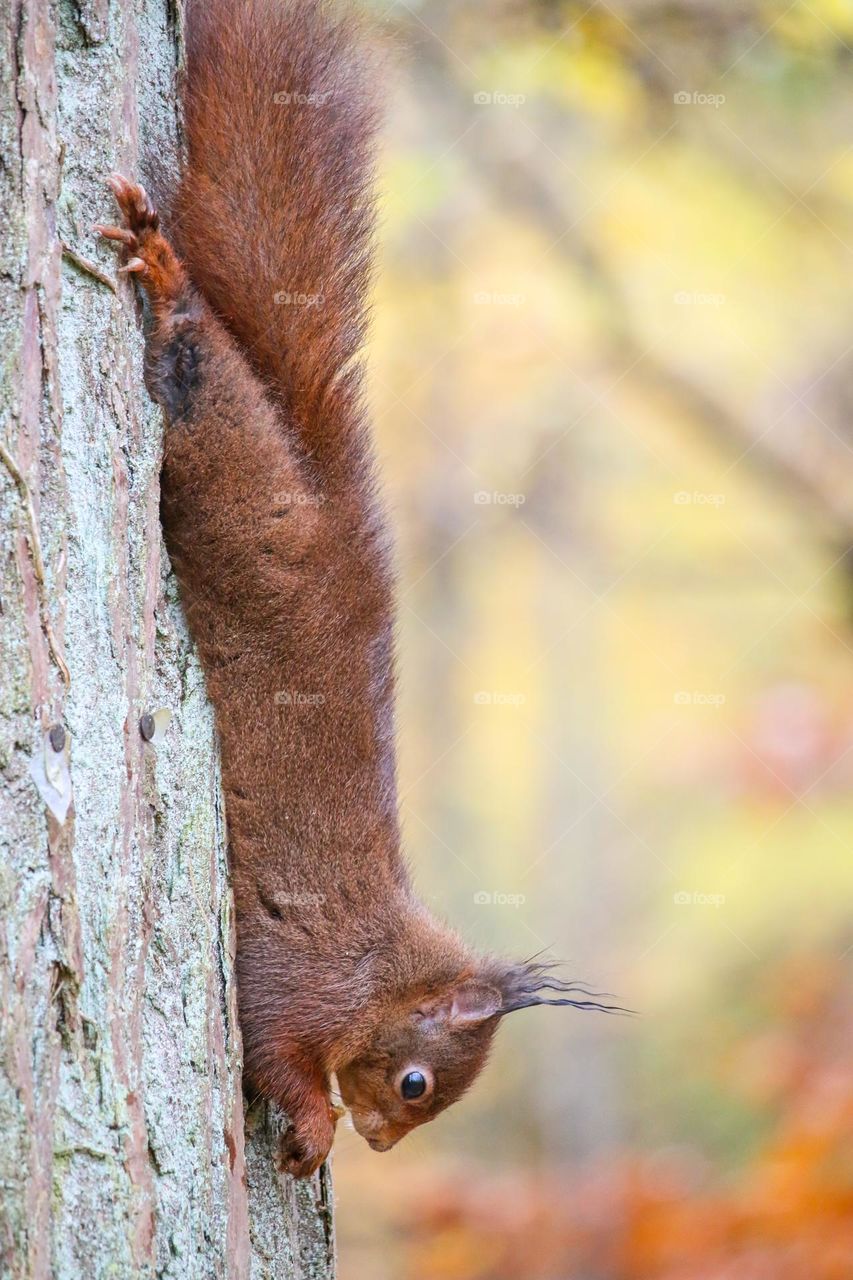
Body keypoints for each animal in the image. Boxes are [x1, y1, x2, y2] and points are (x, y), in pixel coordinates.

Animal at [96, 0, 617, 1179]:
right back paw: (165, 275)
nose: (382, 1144)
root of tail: (330, 498)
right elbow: (272, 1047)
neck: (378, 961)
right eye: (417, 1081)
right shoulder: (297, 970)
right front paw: (313, 1127)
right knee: (200, 375)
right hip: (237, 483)